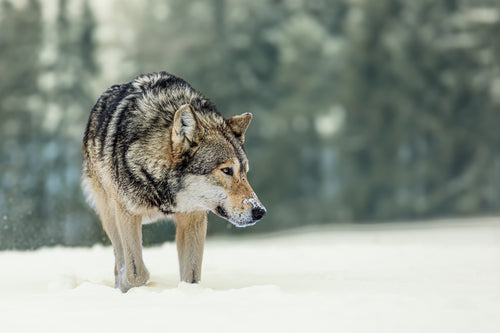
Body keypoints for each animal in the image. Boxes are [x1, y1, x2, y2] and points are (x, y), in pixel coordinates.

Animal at [82, 70, 266, 290]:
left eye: (245, 171)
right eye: (227, 170)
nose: (260, 212)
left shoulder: (193, 219)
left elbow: (191, 278)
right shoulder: (127, 213)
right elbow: (136, 273)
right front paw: (132, 284)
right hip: (110, 214)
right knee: (118, 259)